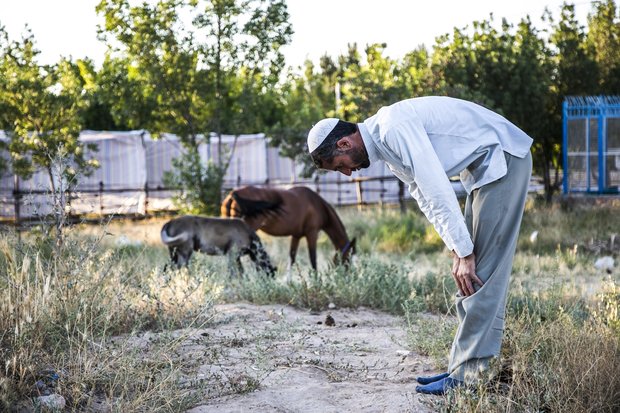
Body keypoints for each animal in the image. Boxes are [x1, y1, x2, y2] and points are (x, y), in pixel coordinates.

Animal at [222, 185, 358, 278]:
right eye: (348, 258)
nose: (349, 276)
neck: (316, 204)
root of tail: (234, 193)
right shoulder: (312, 233)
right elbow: (313, 258)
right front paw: (316, 280)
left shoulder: (296, 236)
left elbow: (292, 257)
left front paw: (289, 281)